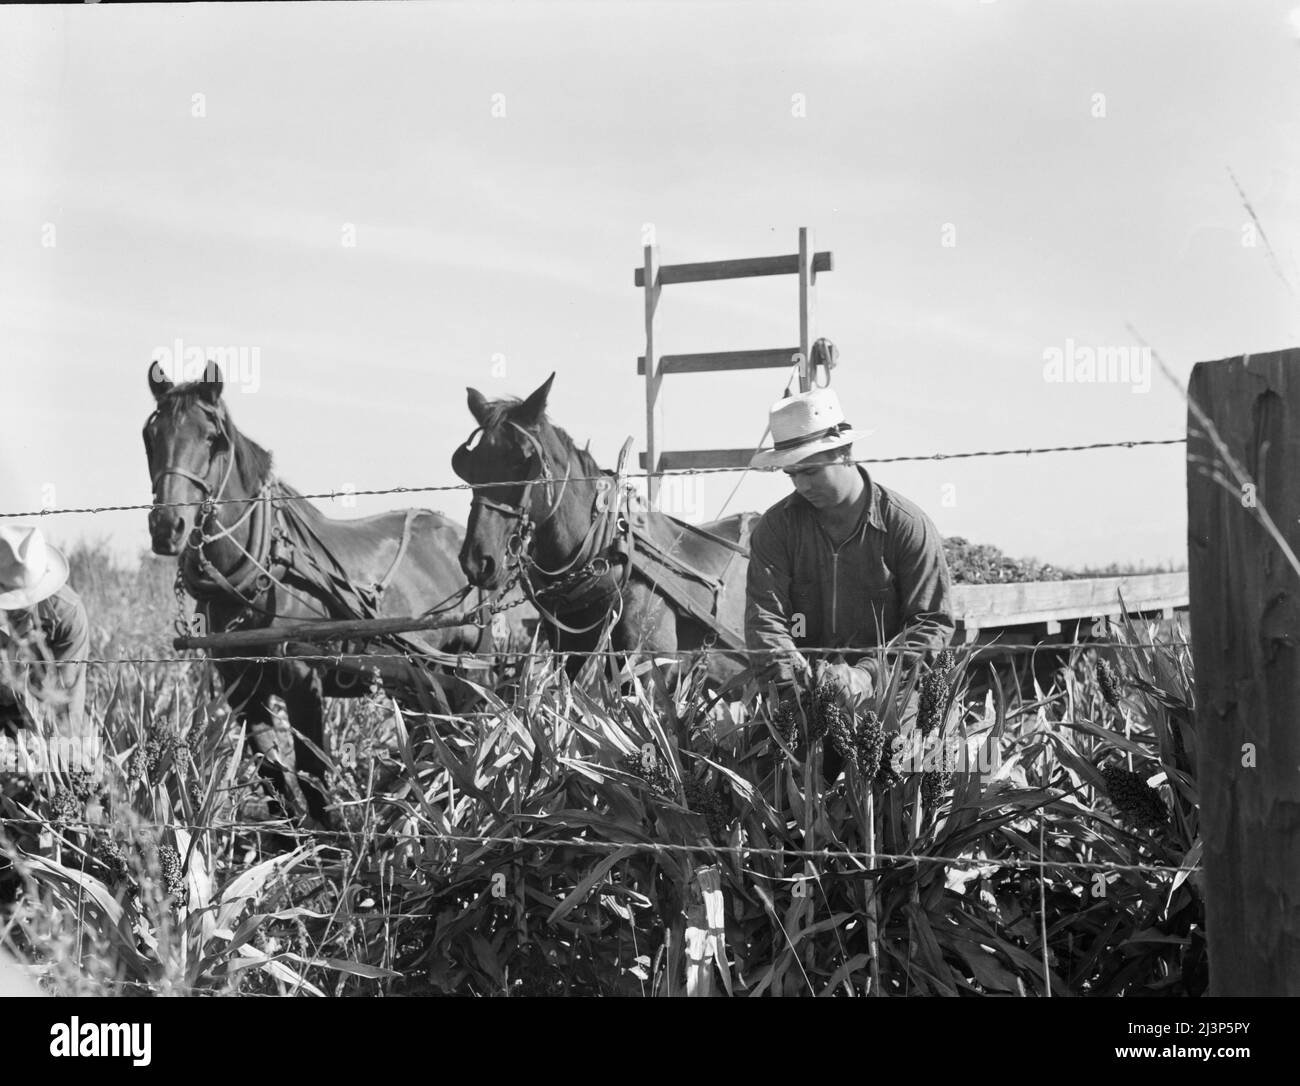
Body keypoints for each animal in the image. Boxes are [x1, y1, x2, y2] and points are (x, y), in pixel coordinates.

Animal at [143, 364, 488, 821]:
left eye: (212, 437)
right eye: (150, 436)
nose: (167, 526)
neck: (263, 571)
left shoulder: (302, 682)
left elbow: (312, 772)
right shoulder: (241, 688)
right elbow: (271, 773)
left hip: (468, 664)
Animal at [452, 374, 754, 691]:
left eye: (523, 460)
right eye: (467, 467)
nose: (478, 559)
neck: (609, 554)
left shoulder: (648, 668)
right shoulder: (571, 659)